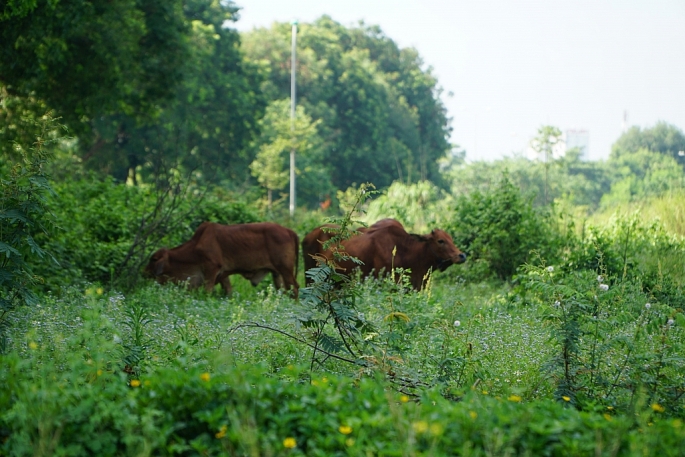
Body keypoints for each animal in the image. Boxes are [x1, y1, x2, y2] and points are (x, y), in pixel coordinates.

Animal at [146, 220, 298, 296]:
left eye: (153, 259)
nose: (144, 273)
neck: (195, 247)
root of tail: (288, 231)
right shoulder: (223, 274)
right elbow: (228, 291)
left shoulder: (212, 268)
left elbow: (207, 291)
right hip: (277, 273)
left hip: (285, 269)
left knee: (294, 287)